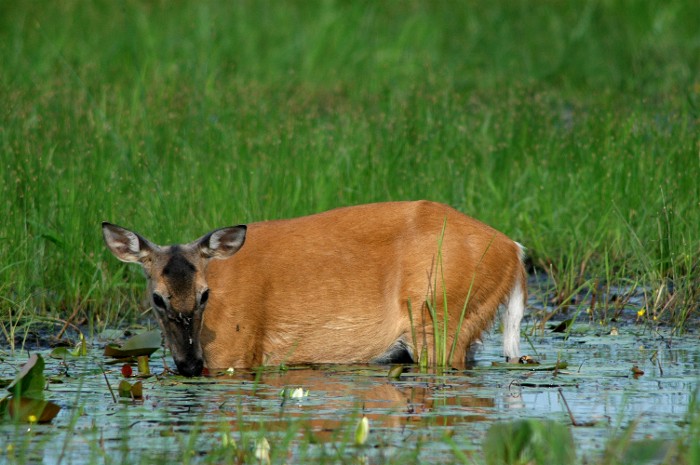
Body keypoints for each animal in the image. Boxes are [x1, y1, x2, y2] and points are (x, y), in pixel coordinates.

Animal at [102, 201, 526, 377]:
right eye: (157, 299)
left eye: (206, 295)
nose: (188, 365)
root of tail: (515, 250)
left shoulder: (236, 351)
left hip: (442, 317)